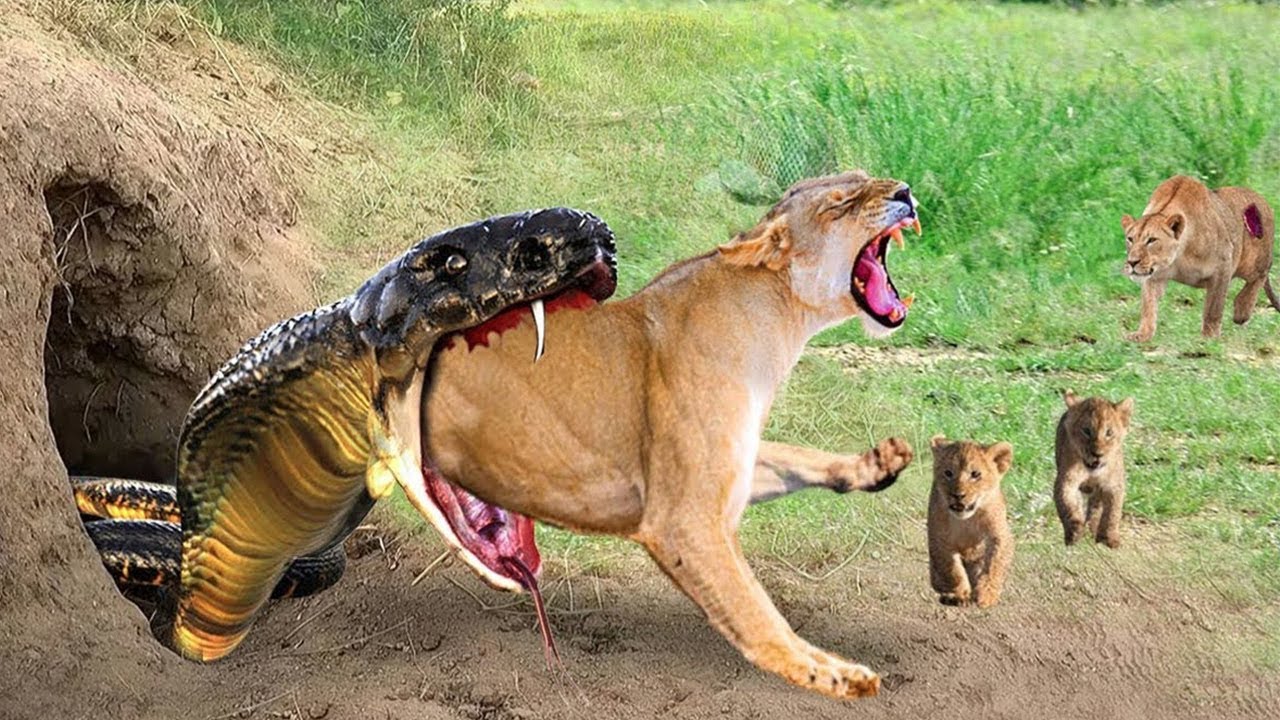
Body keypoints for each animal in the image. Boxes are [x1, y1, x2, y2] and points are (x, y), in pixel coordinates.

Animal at [421, 171, 920, 699]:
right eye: (841, 203)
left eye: (862, 178)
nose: (904, 192)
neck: (779, 318)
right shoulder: (681, 519)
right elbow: (756, 611)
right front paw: (832, 674)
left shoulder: (733, 465)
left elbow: (793, 456)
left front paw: (876, 463)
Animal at [927, 436, 1014, 609]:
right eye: (948, 473)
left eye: (975, 474)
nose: (958, 495)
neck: (966, 520)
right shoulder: (938, 537)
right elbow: (951, 568)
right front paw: (960, 593)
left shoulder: (1000, 534)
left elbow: (994, 564)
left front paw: (987, 594)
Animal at [1054, 390, 1133, 549]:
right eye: (1086, 431)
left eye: (1109, 433)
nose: (1097, 454)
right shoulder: (1066, 481)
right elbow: (1067, 505)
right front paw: (1074, 533)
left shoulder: (1114, 485)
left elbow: (1113, 512)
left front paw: (1110, 538)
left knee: (1096, 506)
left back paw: (1094, 527)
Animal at [1121, 174, 1278, 342]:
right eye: (1130, 239)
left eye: (1151, 240)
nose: (1132, 262)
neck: (1178, 256)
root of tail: (1263, 201)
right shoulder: (1155, 276)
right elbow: (1148, 306)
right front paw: (1142, 334)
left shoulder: (1222, 267)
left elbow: (1213, 308)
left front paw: (1209, 337)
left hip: (1252, 261)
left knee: (1262, 274)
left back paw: (1242, 310)